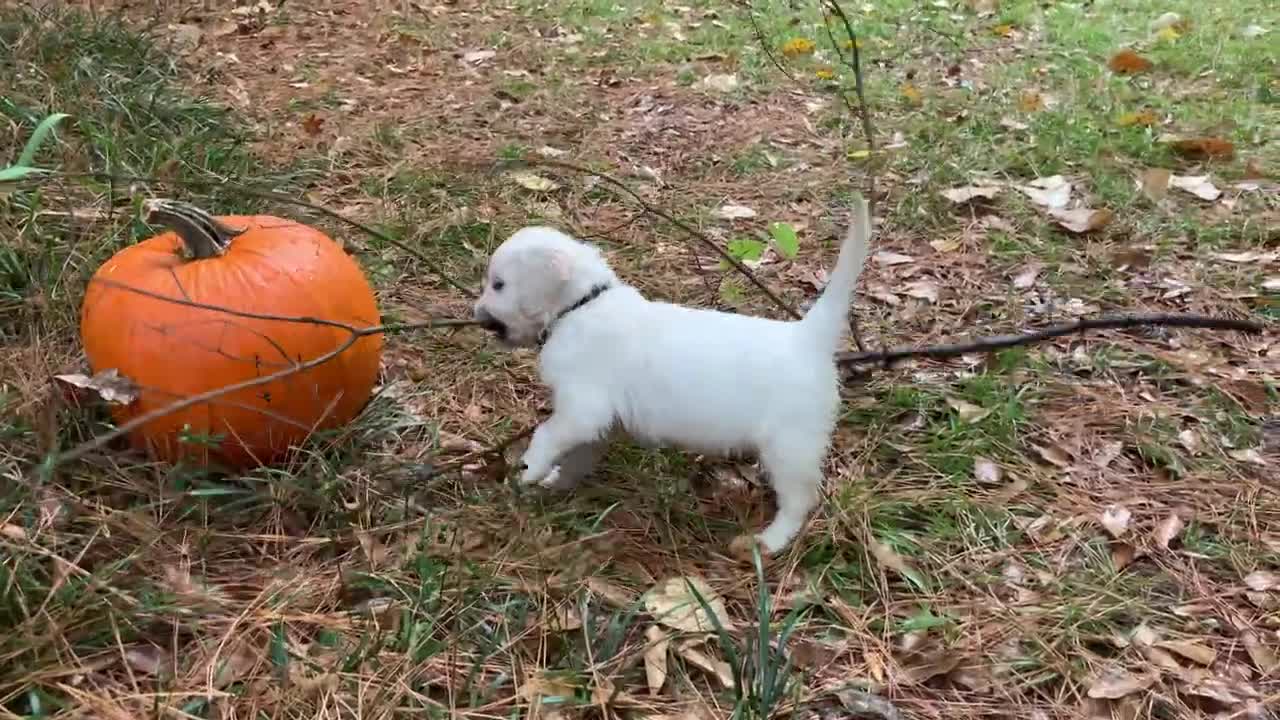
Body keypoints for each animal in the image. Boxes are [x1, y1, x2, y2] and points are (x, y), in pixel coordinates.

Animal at [476, 193, 875, 550]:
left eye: (498, 284)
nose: (476, 315)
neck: (582, 305)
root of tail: (808, 337)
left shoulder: (582, 409)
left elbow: (546, 435)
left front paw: (530, 468)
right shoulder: (598, 423)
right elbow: (578, 456)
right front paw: (557, 481)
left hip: (789, 446)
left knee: (799, 500)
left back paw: (770, 541)